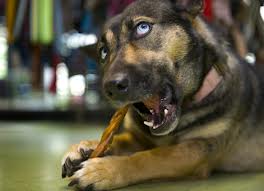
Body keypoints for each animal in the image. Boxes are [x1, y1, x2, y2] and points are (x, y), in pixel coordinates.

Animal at [60, 0, 264, 190]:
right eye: (103, 52)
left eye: (143, 28)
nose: (110, 87)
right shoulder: (139, 138)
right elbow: (118, 139)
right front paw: (89, 146)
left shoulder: (198, 150)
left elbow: (151, 157)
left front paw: (106, 169)